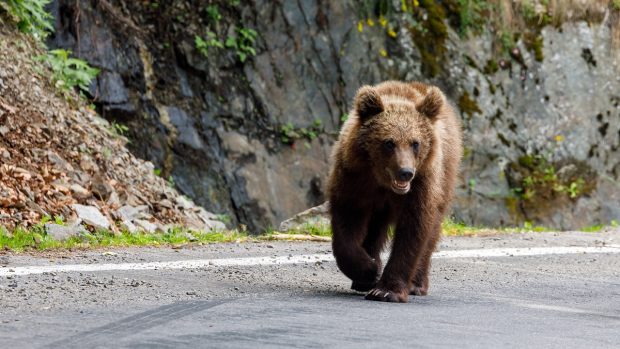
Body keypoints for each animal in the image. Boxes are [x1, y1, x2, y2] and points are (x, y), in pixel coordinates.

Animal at [326, 81, 462, 302]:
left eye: (415, 143)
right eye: (389, 142)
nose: (405, 172)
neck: (383, 182)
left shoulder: (421, 186)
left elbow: (413, 230)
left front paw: (386, 290)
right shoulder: (353, 178)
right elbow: (347, 221)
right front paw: (368, 270)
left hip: (445, 177)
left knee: (431, 232)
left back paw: (416, 284)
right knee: (375, 228)